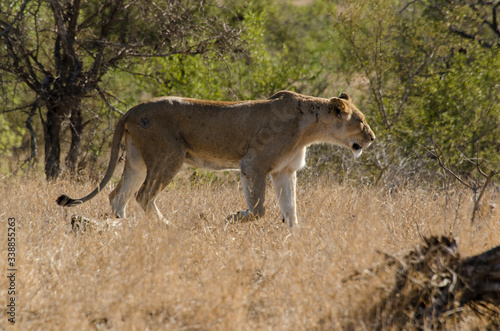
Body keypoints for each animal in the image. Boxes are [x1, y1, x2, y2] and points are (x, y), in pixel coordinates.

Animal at [56, 91, 376, 227]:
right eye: (360, 121)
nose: (372, 137)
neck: (309, 128)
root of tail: (131, 109)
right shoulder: (253, 164)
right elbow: (258, 208)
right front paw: (234, 217)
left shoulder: (285, 171)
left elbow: (291, 208)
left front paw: (293, 236)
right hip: (168, 157)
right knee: (143, 195)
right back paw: (166, 226)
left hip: (136, 161)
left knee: (117, 195)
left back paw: (121, 226)